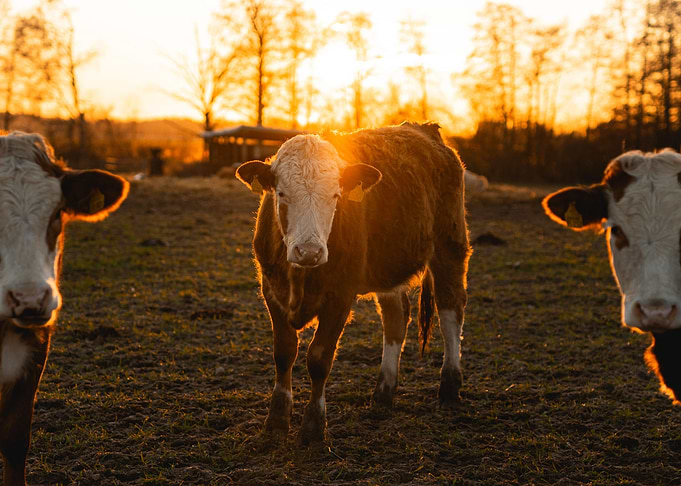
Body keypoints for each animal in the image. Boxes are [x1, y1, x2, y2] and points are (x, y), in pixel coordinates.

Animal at [235, 122, 471, 445]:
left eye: (336, 195)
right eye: (281, 194)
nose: (309, 251)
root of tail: (425, 130)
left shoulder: (340, 296)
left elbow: (319, 358)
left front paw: (313, 426)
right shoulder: (271, 290)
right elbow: (283, 353)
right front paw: (276, 421)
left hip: (450, 245)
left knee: (450, 312)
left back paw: (449, 387)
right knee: (396, 318)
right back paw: (383, 393)